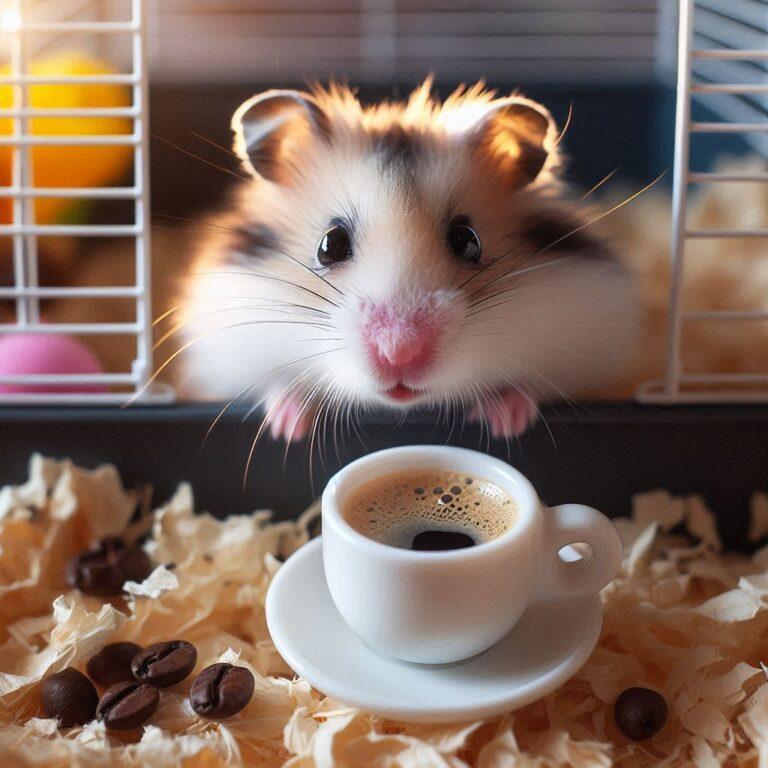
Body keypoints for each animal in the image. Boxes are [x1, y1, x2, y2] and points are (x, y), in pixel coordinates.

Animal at [177, 81, 640, 440]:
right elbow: (273, 384)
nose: (399, 354)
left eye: (468, 241)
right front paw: (287, 424)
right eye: (330, 244)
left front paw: (507, 420)